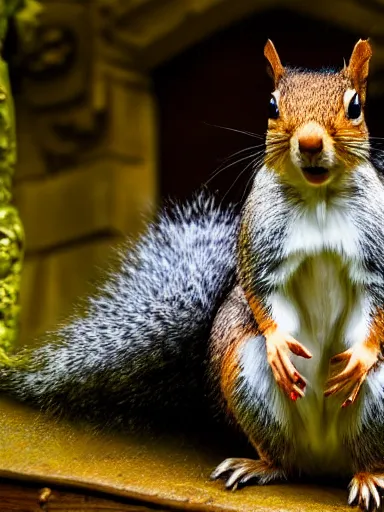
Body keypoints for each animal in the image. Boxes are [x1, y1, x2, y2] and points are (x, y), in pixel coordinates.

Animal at [0, 39, 384, 512]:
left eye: (356, 107)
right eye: (272, 105)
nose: (310, 141)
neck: (319, 198)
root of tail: (325, 459)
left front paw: (360, 356)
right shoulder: (259, 242)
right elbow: (258, 290)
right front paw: (278, 343)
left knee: (363, 458)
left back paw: (368, 477)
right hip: (245, 377)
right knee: (285, 462)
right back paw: (259, 465)